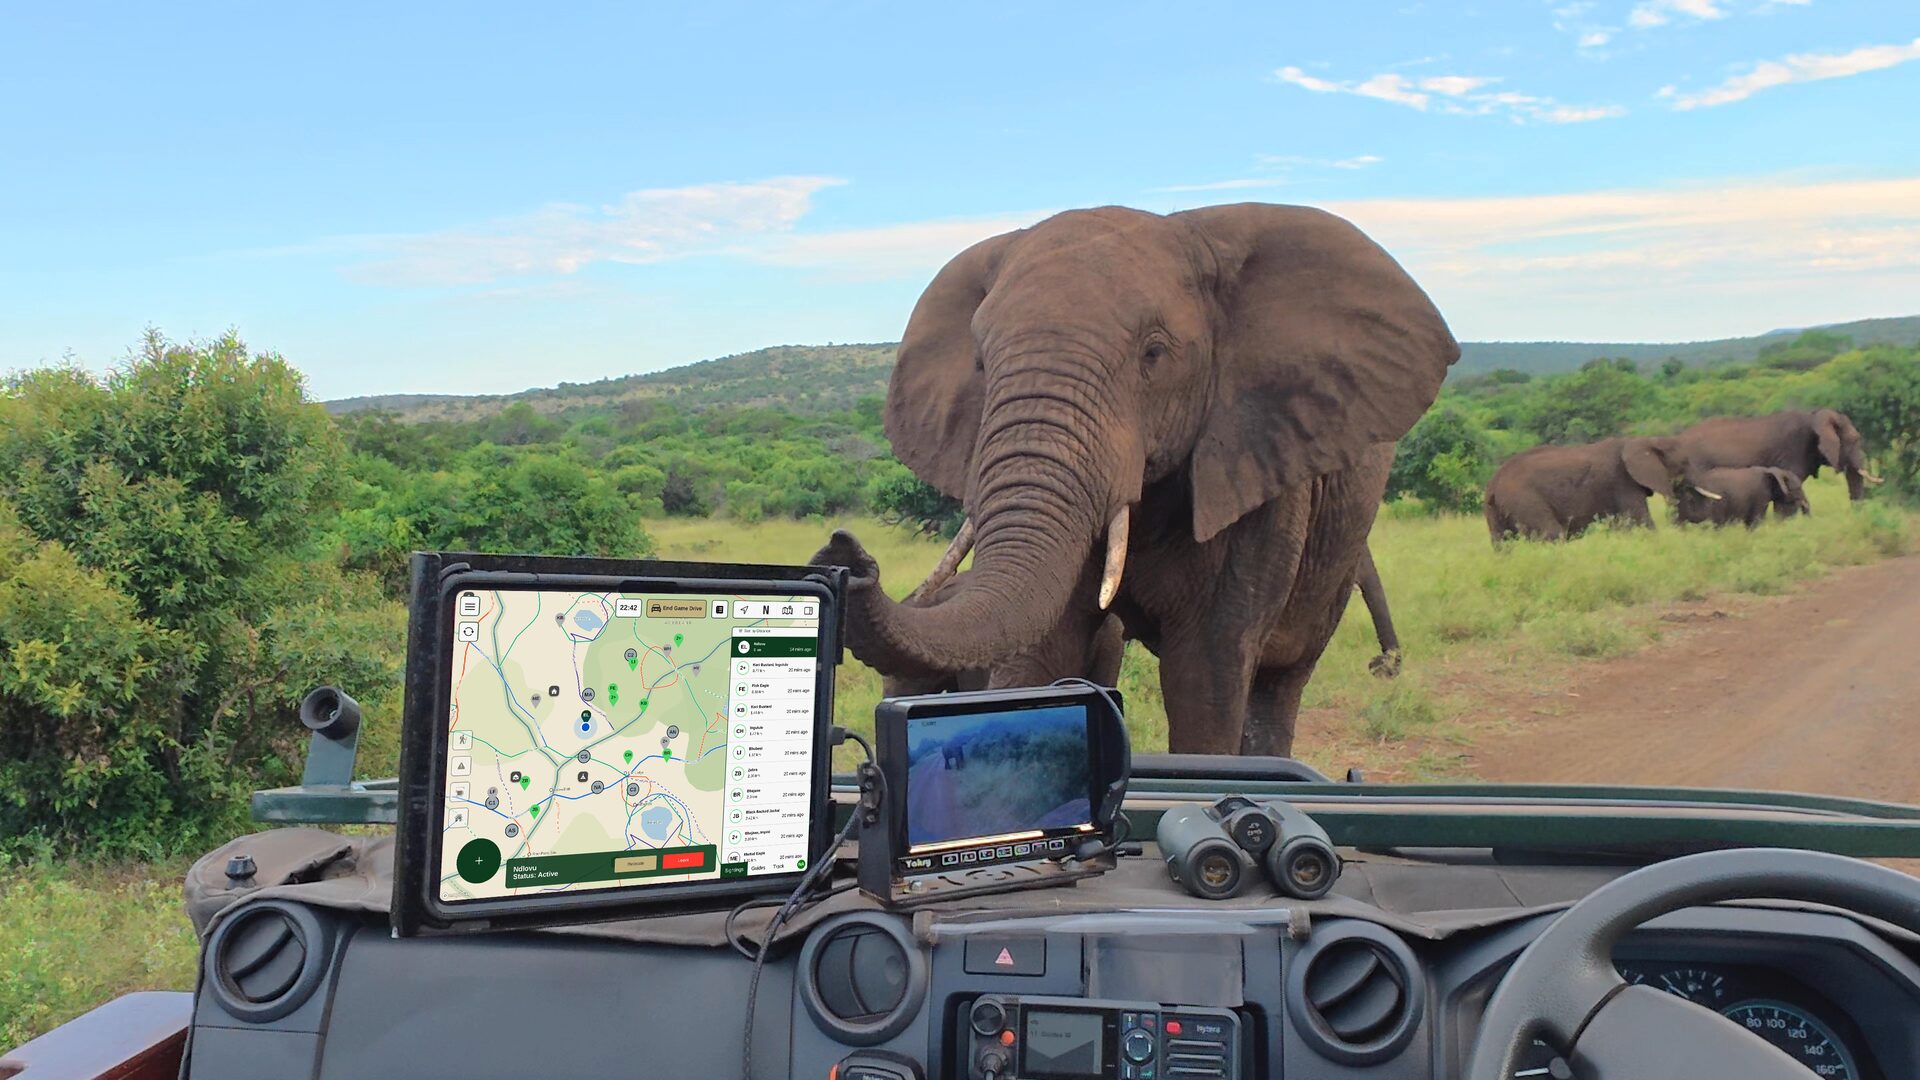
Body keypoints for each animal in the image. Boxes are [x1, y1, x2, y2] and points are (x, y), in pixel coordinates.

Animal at [810, 203, 1459, 756]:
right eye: (980, 362)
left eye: (1153, 354)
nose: (843, 556)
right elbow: (1044, 650)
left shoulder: (1259, 468)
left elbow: (1206, 673)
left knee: (1278, 687)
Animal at [1483, 436, 1706, 544]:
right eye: (1685, 463)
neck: (1643, 440)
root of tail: (1494, 482)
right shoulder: (1622, 481)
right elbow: (1641, 521)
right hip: (1525, 500)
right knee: (1552, 535)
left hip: (1495, 510)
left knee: (1503, 544)